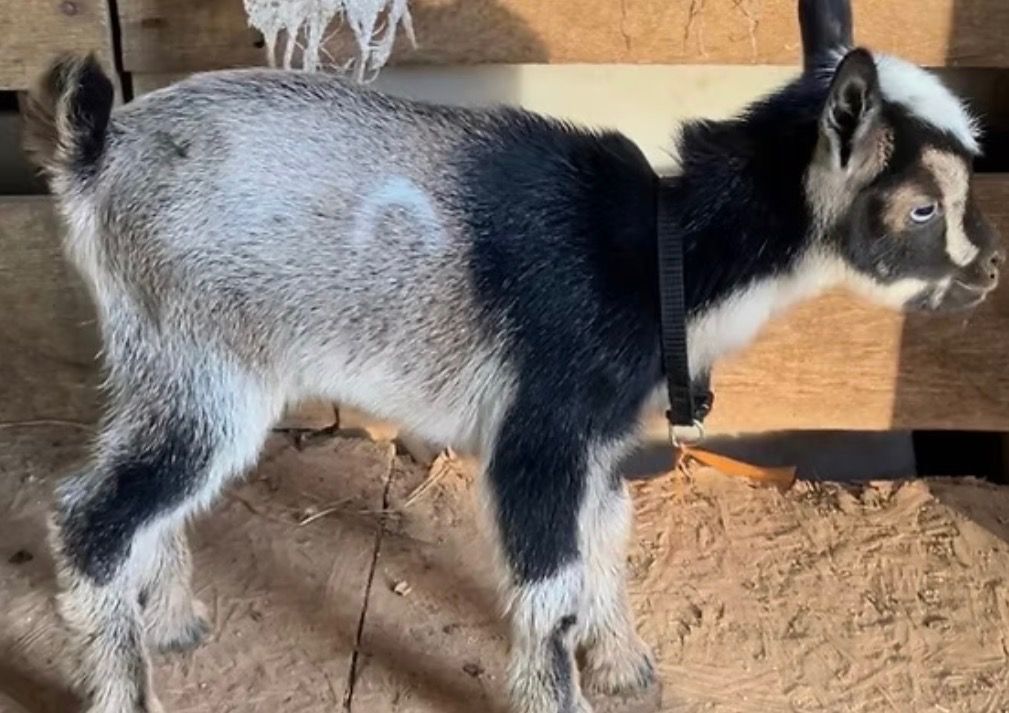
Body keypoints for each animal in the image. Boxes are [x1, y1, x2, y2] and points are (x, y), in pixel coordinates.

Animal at [21, 0, 1002, 710]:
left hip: (167, 358)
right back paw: (125, 684)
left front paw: (623, 664)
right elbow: (548, 586)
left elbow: (606, 538)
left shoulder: (599, 439)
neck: (665, 247)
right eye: (921, 205)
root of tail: (98, 154)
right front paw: (562, 690)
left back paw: (171, 619)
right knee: (94, 513)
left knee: (150, 495)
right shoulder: (543, 425)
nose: (988, 268)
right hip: (204, 359)